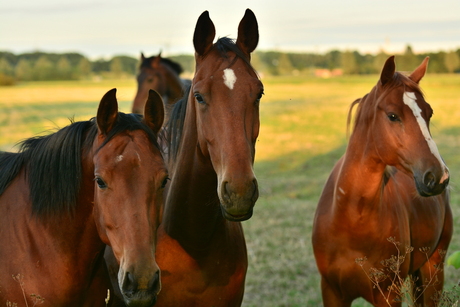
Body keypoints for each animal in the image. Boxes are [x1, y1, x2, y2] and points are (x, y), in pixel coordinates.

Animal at [310, 56, 452, 306]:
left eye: (429, 113)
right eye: (393, 116)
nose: (439, 177)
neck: (350, 216)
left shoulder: (389, 294)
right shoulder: (332, 292)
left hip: (433, 270)